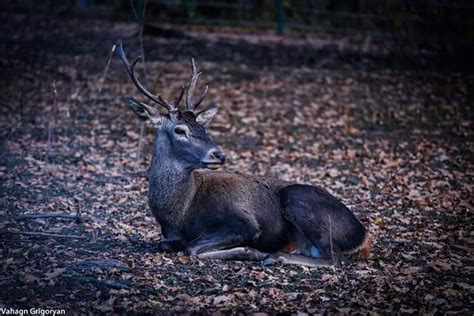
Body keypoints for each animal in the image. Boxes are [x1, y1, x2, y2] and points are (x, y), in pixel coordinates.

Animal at [116, 42, 372, 266]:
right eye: (180, 130)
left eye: (203, 128)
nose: (218, 154)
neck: (179, 214)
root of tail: (362, 236)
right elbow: (168, 244)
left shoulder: (243, 221)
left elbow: (193, 247)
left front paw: (252, 252)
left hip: (298, 198)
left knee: (333, 258)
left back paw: (275, 257)